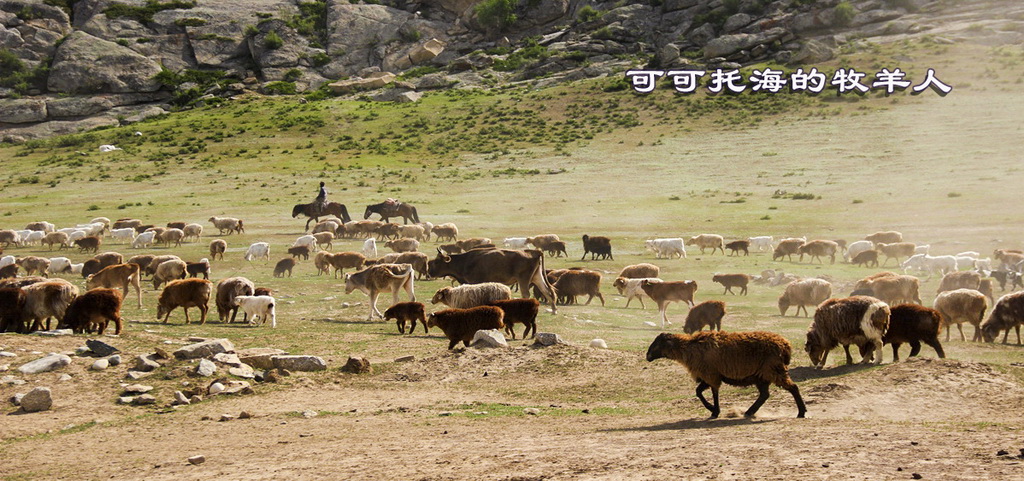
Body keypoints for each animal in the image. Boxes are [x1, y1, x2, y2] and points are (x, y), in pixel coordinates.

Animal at [647, 331, 806, 419]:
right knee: (764, 395)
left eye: (657, 343)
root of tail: (785, 345)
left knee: (793, 388)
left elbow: (713, 393)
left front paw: (714, 411)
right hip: (762, 375)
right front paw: (712, 409)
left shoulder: (711, 374)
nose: (647, 356)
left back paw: (801, 412)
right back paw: (749, 412)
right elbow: (698, 392)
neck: (689, 348)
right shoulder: (709, 375)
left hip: (773, 369)